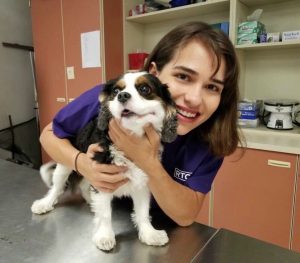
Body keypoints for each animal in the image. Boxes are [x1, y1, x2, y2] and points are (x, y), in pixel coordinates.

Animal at [31, 71, 178, 252]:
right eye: (116, 91)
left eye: (145, 89)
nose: (122, 96)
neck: (129, 143)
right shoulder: (102, 179)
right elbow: (105, 213)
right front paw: (105, 236)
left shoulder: (141, 183)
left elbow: (142, 212)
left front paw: (149, 233)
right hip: (64, 167)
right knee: (56, 188)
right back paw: (45, 203)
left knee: (84, 186)